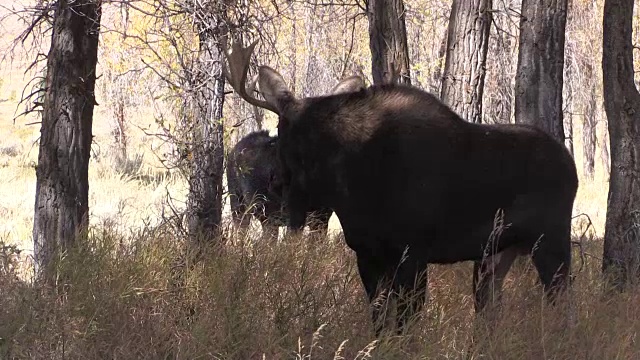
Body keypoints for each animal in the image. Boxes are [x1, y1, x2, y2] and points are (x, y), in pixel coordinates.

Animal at [221, 40, 580, 336]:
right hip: (496, 255)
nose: (276, 182)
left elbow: (406, 324)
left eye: (288, 132)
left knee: (562, 305)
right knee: (490, 311)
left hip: (551, 241)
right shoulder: (368, 253)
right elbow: (380, 320)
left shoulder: (413, 254)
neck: (352, 186)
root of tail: (570, 164)